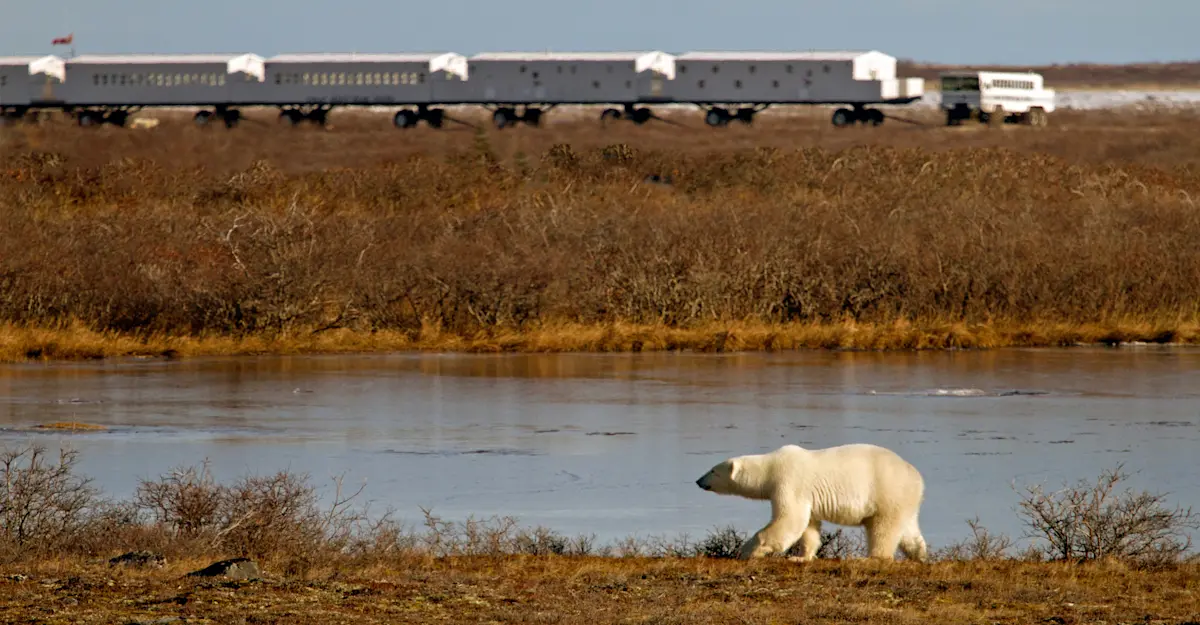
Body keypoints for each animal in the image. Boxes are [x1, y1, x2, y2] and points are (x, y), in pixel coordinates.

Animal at [694, 443, 928, 562]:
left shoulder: (788, 481)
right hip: (904, 500)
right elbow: (808, 525)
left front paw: (747, 551)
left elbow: (789, 519)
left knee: (882, 528)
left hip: (886, 491)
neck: (770, 467)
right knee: (908, 530)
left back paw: (871, 558)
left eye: (713, 470)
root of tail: (917, 477)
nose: (698, 480)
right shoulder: (806, 495)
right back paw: (919, 555)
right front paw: (801, 557)